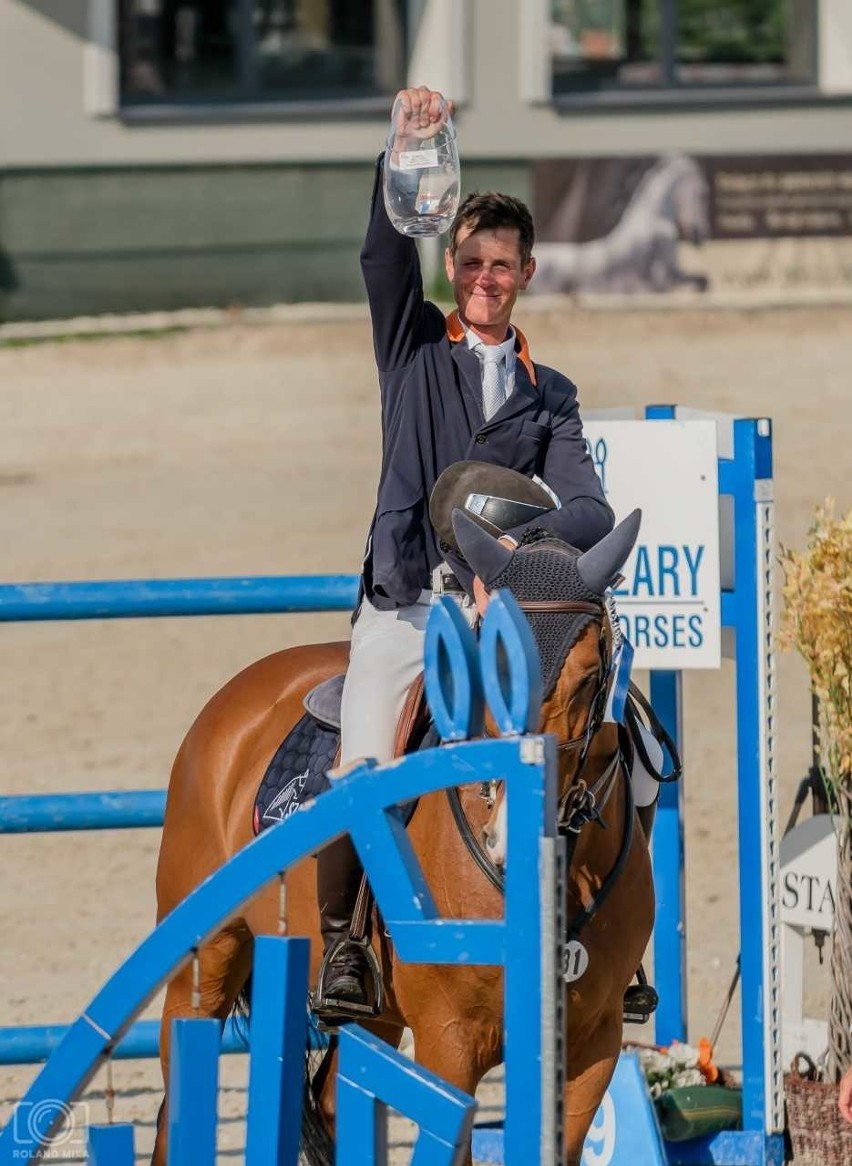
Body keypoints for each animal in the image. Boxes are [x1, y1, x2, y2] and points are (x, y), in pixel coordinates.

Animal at [151, 513, 652, 1166]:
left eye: (591, 678)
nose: (506, 835)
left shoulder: (593, 1043)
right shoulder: (451, 1039)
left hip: (372, 1014)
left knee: (333, 1103)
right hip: (205, 963)